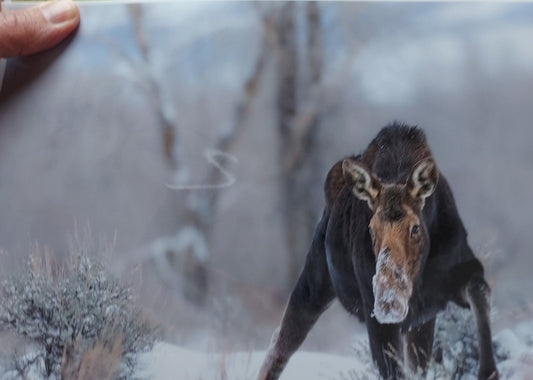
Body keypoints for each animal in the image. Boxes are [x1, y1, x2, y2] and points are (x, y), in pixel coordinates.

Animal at [256, 124, 496, 380]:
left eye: (415, 227)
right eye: (371, 228)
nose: (389, 300)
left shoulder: (450, 283)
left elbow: (479, 290)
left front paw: (489, 370)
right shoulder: (375, 315)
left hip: (419, 322)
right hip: (315, 282)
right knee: (282, 343)